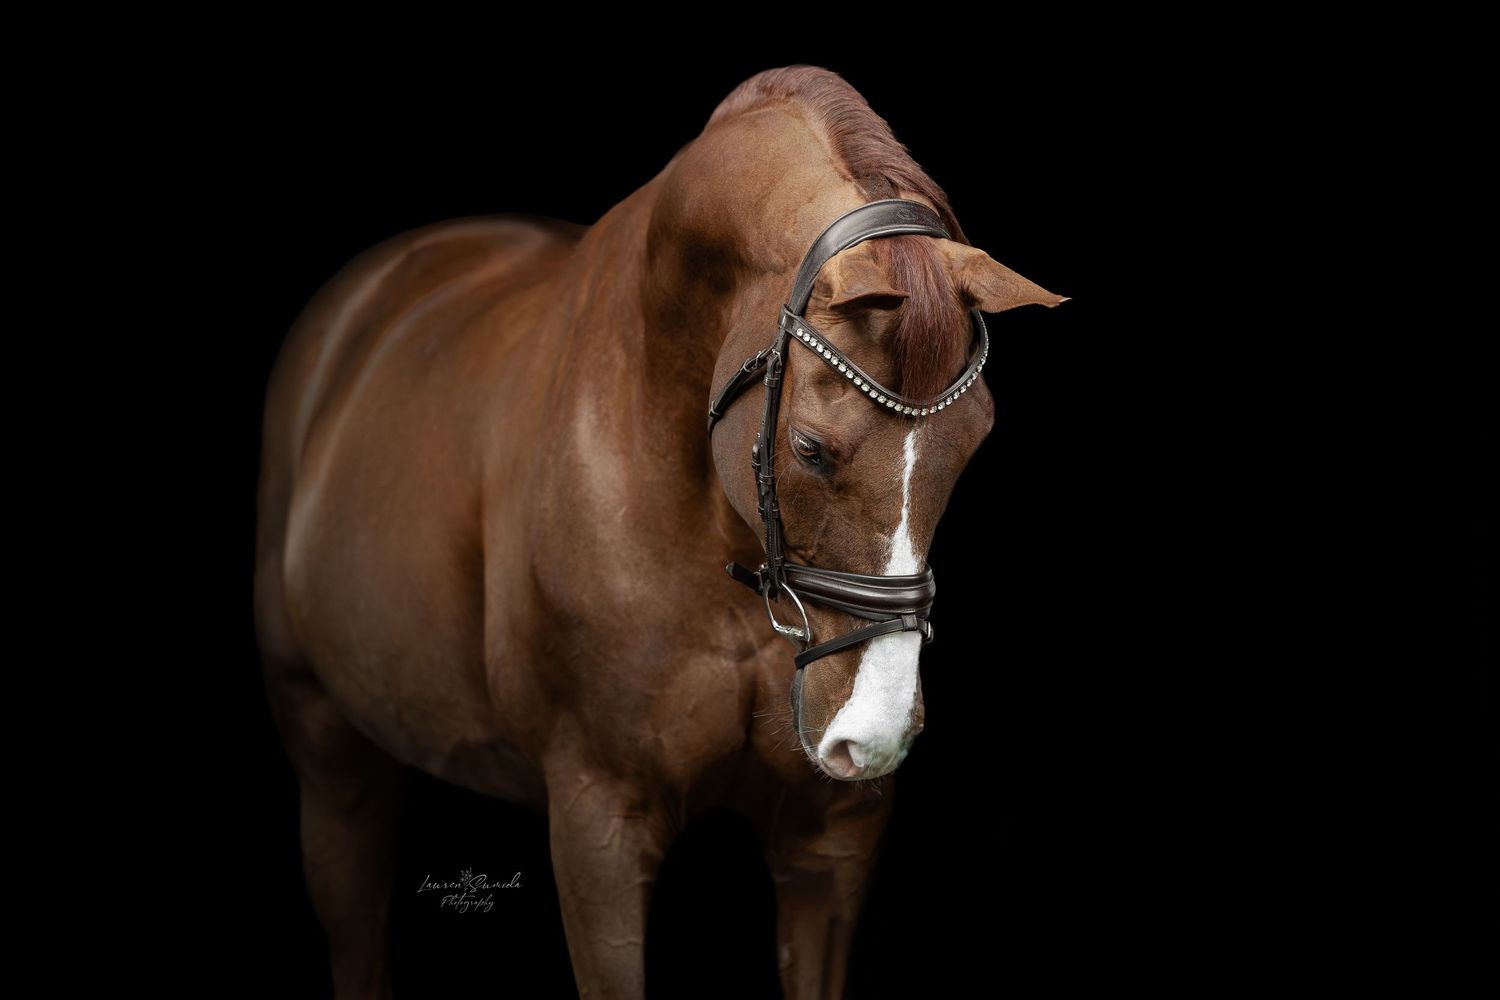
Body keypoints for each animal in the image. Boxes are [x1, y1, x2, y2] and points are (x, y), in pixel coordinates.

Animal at [254, 64, 1065, 998]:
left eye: (977, 438)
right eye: (810, 448)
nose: (877, 730)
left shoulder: (830, 842)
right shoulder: (598, 822)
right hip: (327, 751)